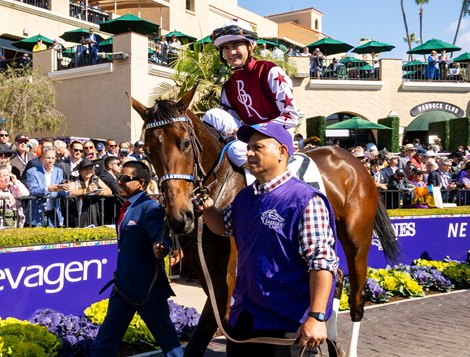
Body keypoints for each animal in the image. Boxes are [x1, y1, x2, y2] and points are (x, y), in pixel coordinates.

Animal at [131, 87, 400, 356]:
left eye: (185, 142)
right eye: (148, 151)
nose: (179, 216)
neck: (221, 187)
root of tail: (354, 161)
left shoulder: (227, 284)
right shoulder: (207, 274)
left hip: (357, 240)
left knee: (356, 298)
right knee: (333, 275)